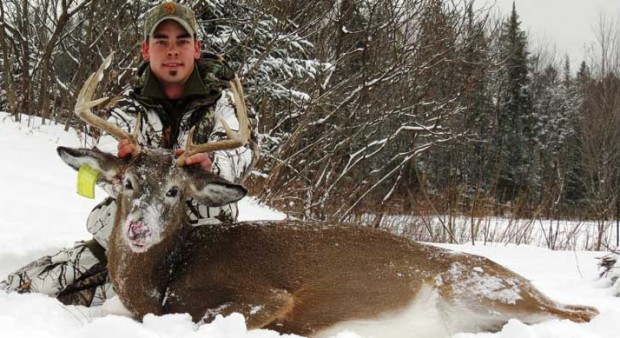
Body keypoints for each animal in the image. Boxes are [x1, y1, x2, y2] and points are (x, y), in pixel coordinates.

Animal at [60, 56, 600, 338]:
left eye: (175, 189)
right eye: (128, 184)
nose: (139, 227)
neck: (163, 279)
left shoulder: (266, 297)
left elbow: (212, 316)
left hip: (483, 286)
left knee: (580, 311)